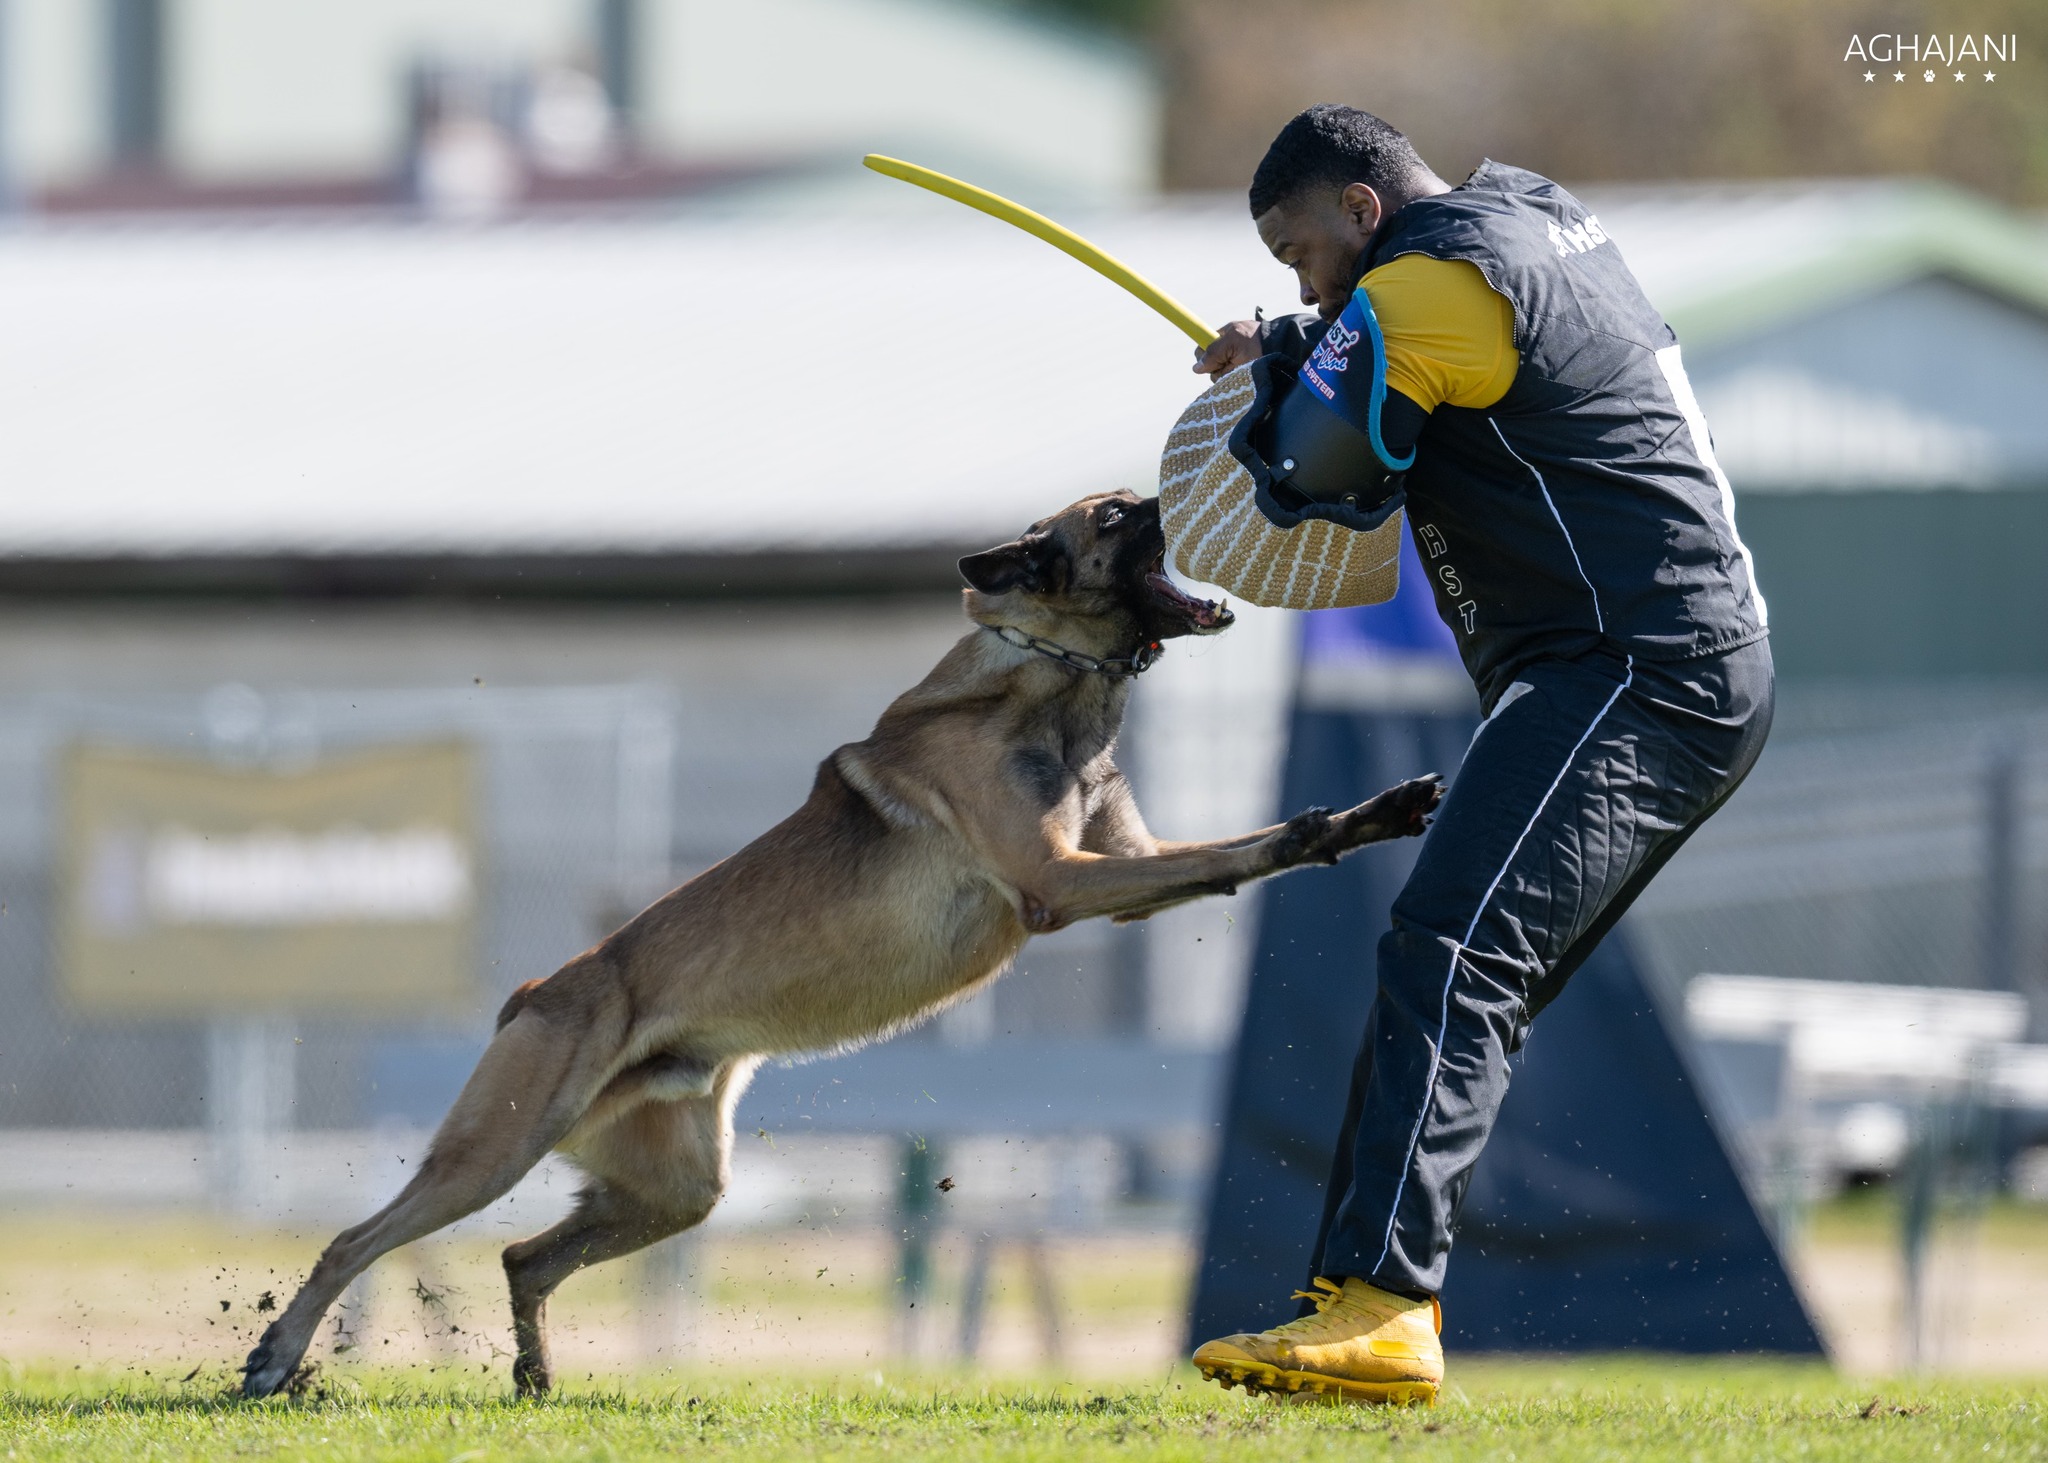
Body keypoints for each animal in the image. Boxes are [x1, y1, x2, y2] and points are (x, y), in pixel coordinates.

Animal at [243, 487, 1441, 1393]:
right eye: (1114, 512)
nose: (1189, 478)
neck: (1045, 678)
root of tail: (540, 985)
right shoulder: (1062, 882)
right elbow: (1232, 853)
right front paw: (1328, 822)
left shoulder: (1124, 869)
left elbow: (1242, 855)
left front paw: (1365, 819)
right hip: (496, 1148)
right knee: (360, 1240)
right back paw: (276, 1358)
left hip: (676, 1188)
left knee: (524, 1256)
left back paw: (534, 1378)